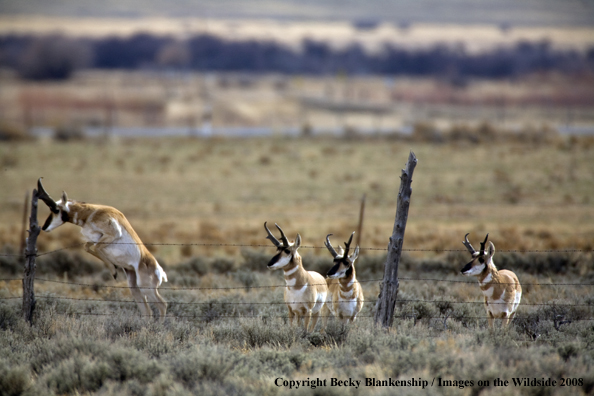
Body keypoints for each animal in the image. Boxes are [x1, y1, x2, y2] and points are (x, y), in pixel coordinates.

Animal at [37, 178, 168, 320]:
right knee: (147, 311)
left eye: (55, 209)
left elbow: (96, 248)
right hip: (135, 288)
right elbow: (87, 247)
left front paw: (114, 271)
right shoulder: (94, 239)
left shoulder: (112, 234)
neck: (92, 213)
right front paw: (114, 269)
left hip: (146, 288)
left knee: (162, 305)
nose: (44, 227)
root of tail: (158, 269)